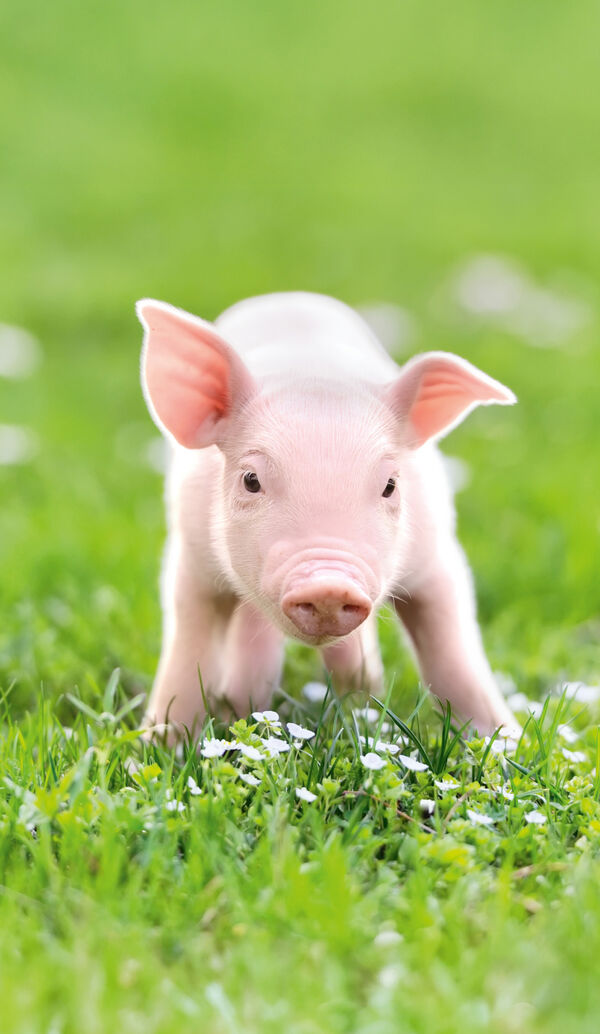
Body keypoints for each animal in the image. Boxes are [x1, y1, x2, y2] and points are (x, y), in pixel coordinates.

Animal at [137, 291, 518, 741]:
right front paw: (163, 742)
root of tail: (287, 296)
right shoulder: (191, 557)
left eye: (390, 485)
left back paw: (358, 691)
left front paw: (505, 740)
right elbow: (188, 648)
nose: (329, 587)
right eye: (251, 480)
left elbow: (453, 647)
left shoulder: (437, 553)